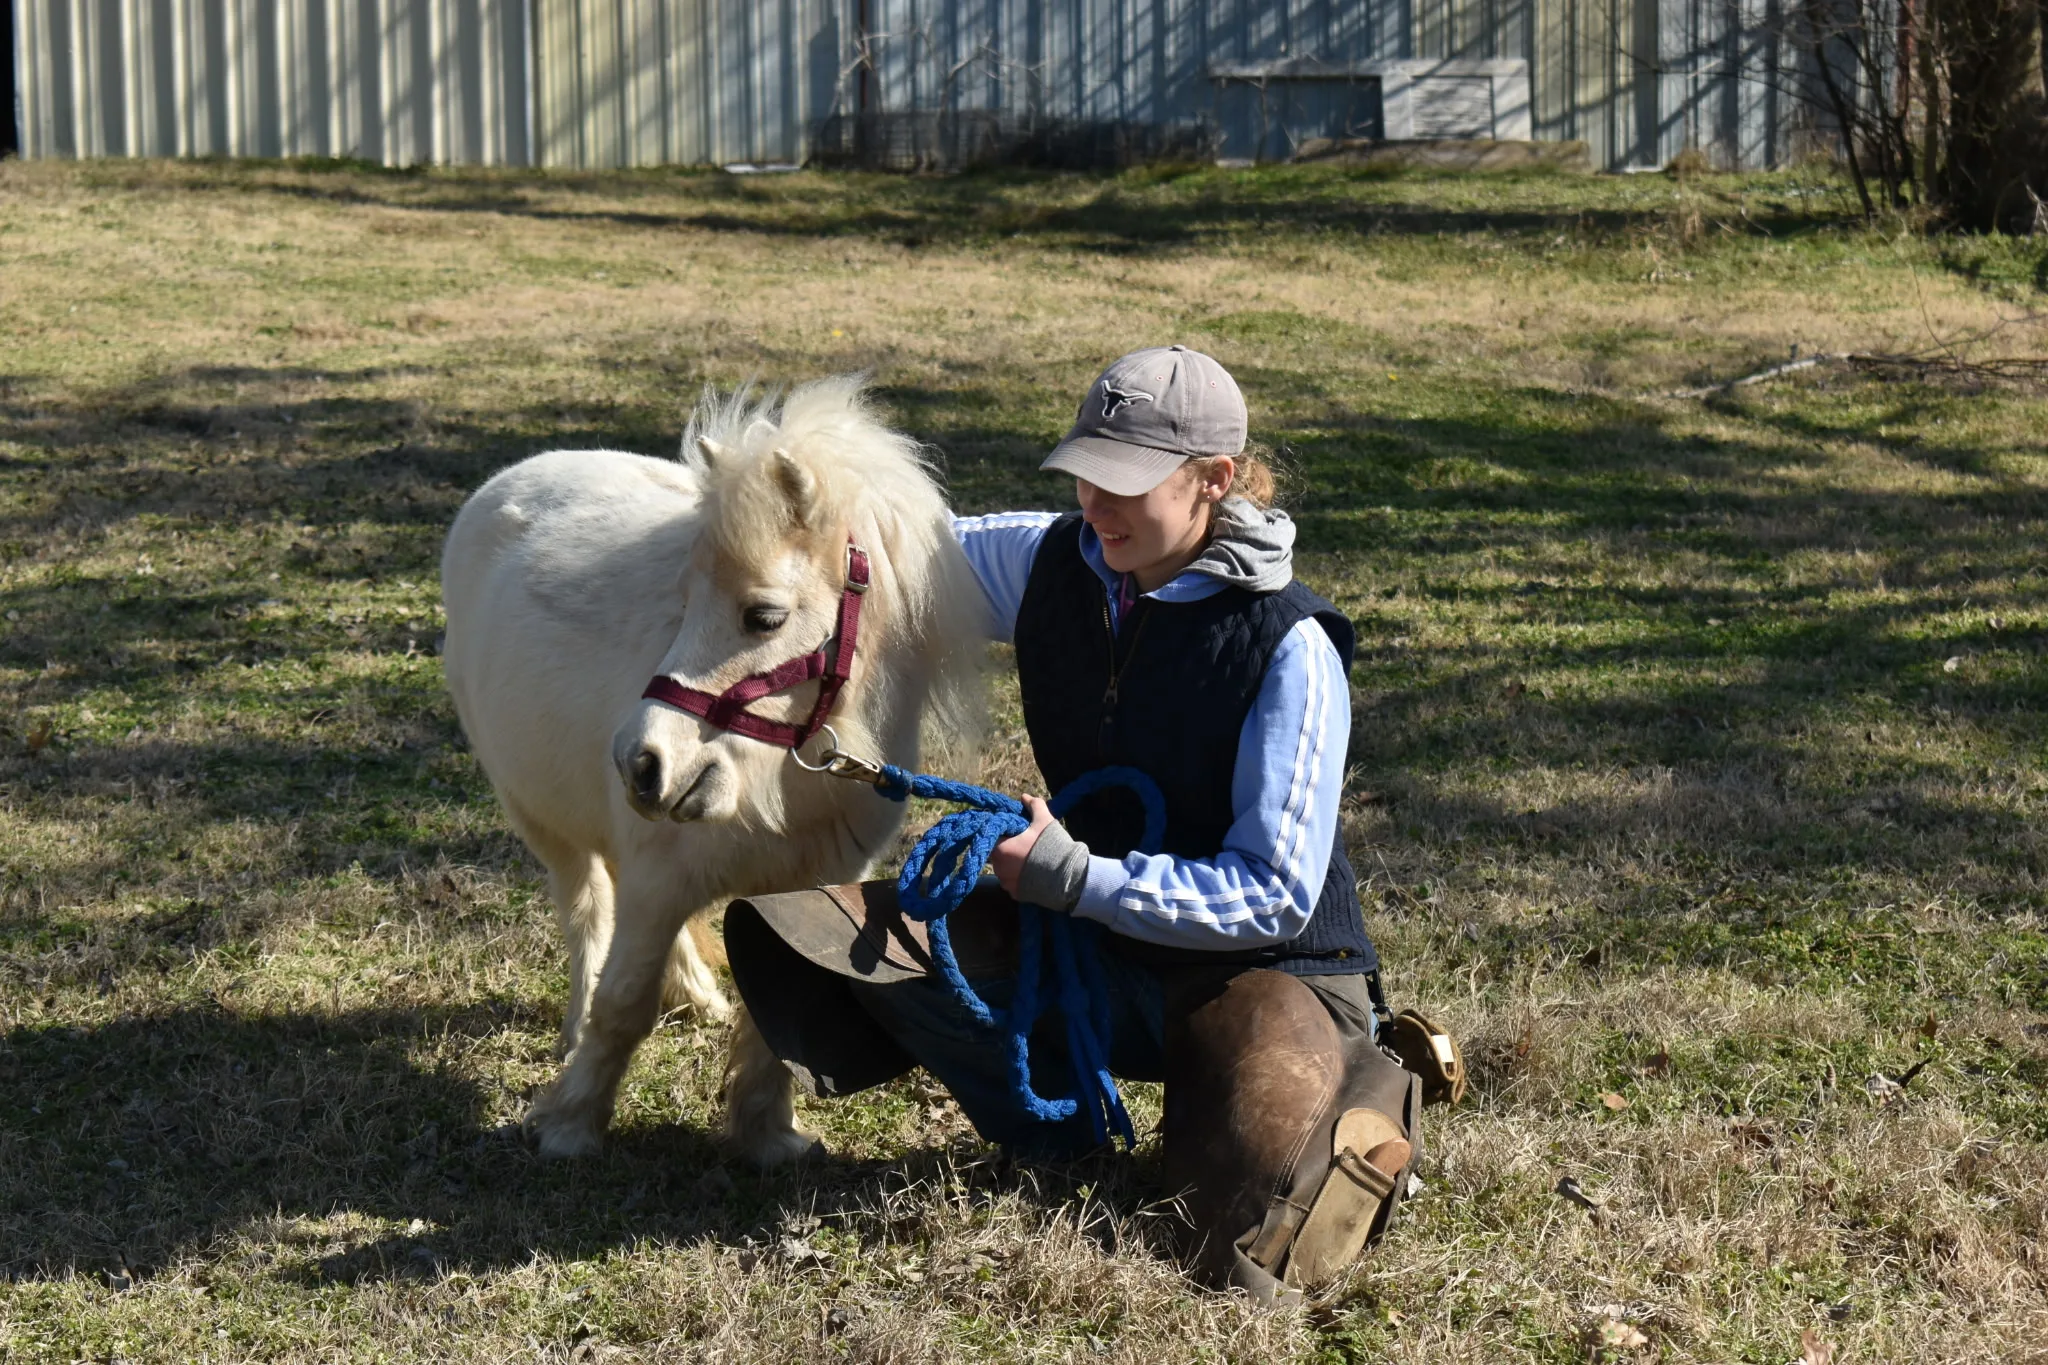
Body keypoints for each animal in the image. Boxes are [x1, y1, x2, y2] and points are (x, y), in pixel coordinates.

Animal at [440, 377, 986, 1163]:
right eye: (683, 601)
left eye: (763, 616)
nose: (640, 762)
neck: (789, 781)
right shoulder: (658, 876)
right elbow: (623, 1003)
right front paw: (571, 1124)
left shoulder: (808, 886)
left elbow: (775, 1010)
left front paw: (766, 1136)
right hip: (541, 820)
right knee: (587, 908)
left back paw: (697, 993)